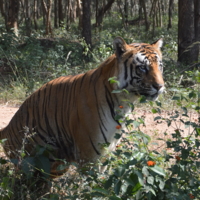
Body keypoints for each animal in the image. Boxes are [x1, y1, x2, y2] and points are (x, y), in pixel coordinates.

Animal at [0, 37, 164, 177]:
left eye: (160, 66)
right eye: (142, 68)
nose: (160, 86)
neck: (124, 102)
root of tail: (6, 129)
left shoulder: (108, 150)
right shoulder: (88, 154)